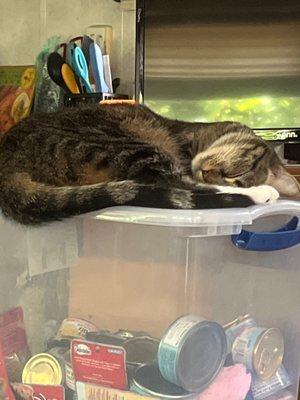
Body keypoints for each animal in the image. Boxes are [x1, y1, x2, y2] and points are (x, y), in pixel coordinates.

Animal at [0, 103, 298, 225]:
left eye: (234, 175)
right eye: (240, 166)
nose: (208, 172)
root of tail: (8, 160)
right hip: (128, 144)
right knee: (173, 183)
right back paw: (262, 193)